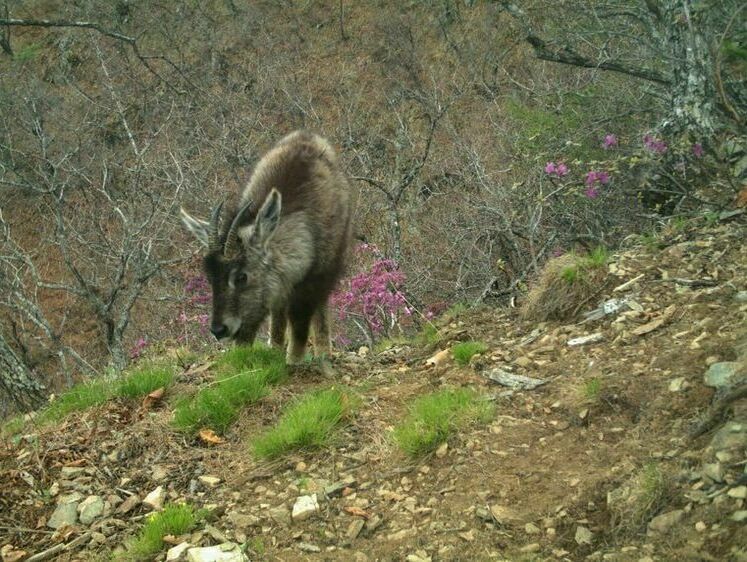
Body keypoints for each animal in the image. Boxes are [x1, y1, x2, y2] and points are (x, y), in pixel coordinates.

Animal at [183, 129, 356, 360]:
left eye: (241, 276)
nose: (219, 330)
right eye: (210, 278)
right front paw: (275, 350)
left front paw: (296, 358)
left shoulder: (319, 273)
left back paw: (321, 349)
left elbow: (303, 316)